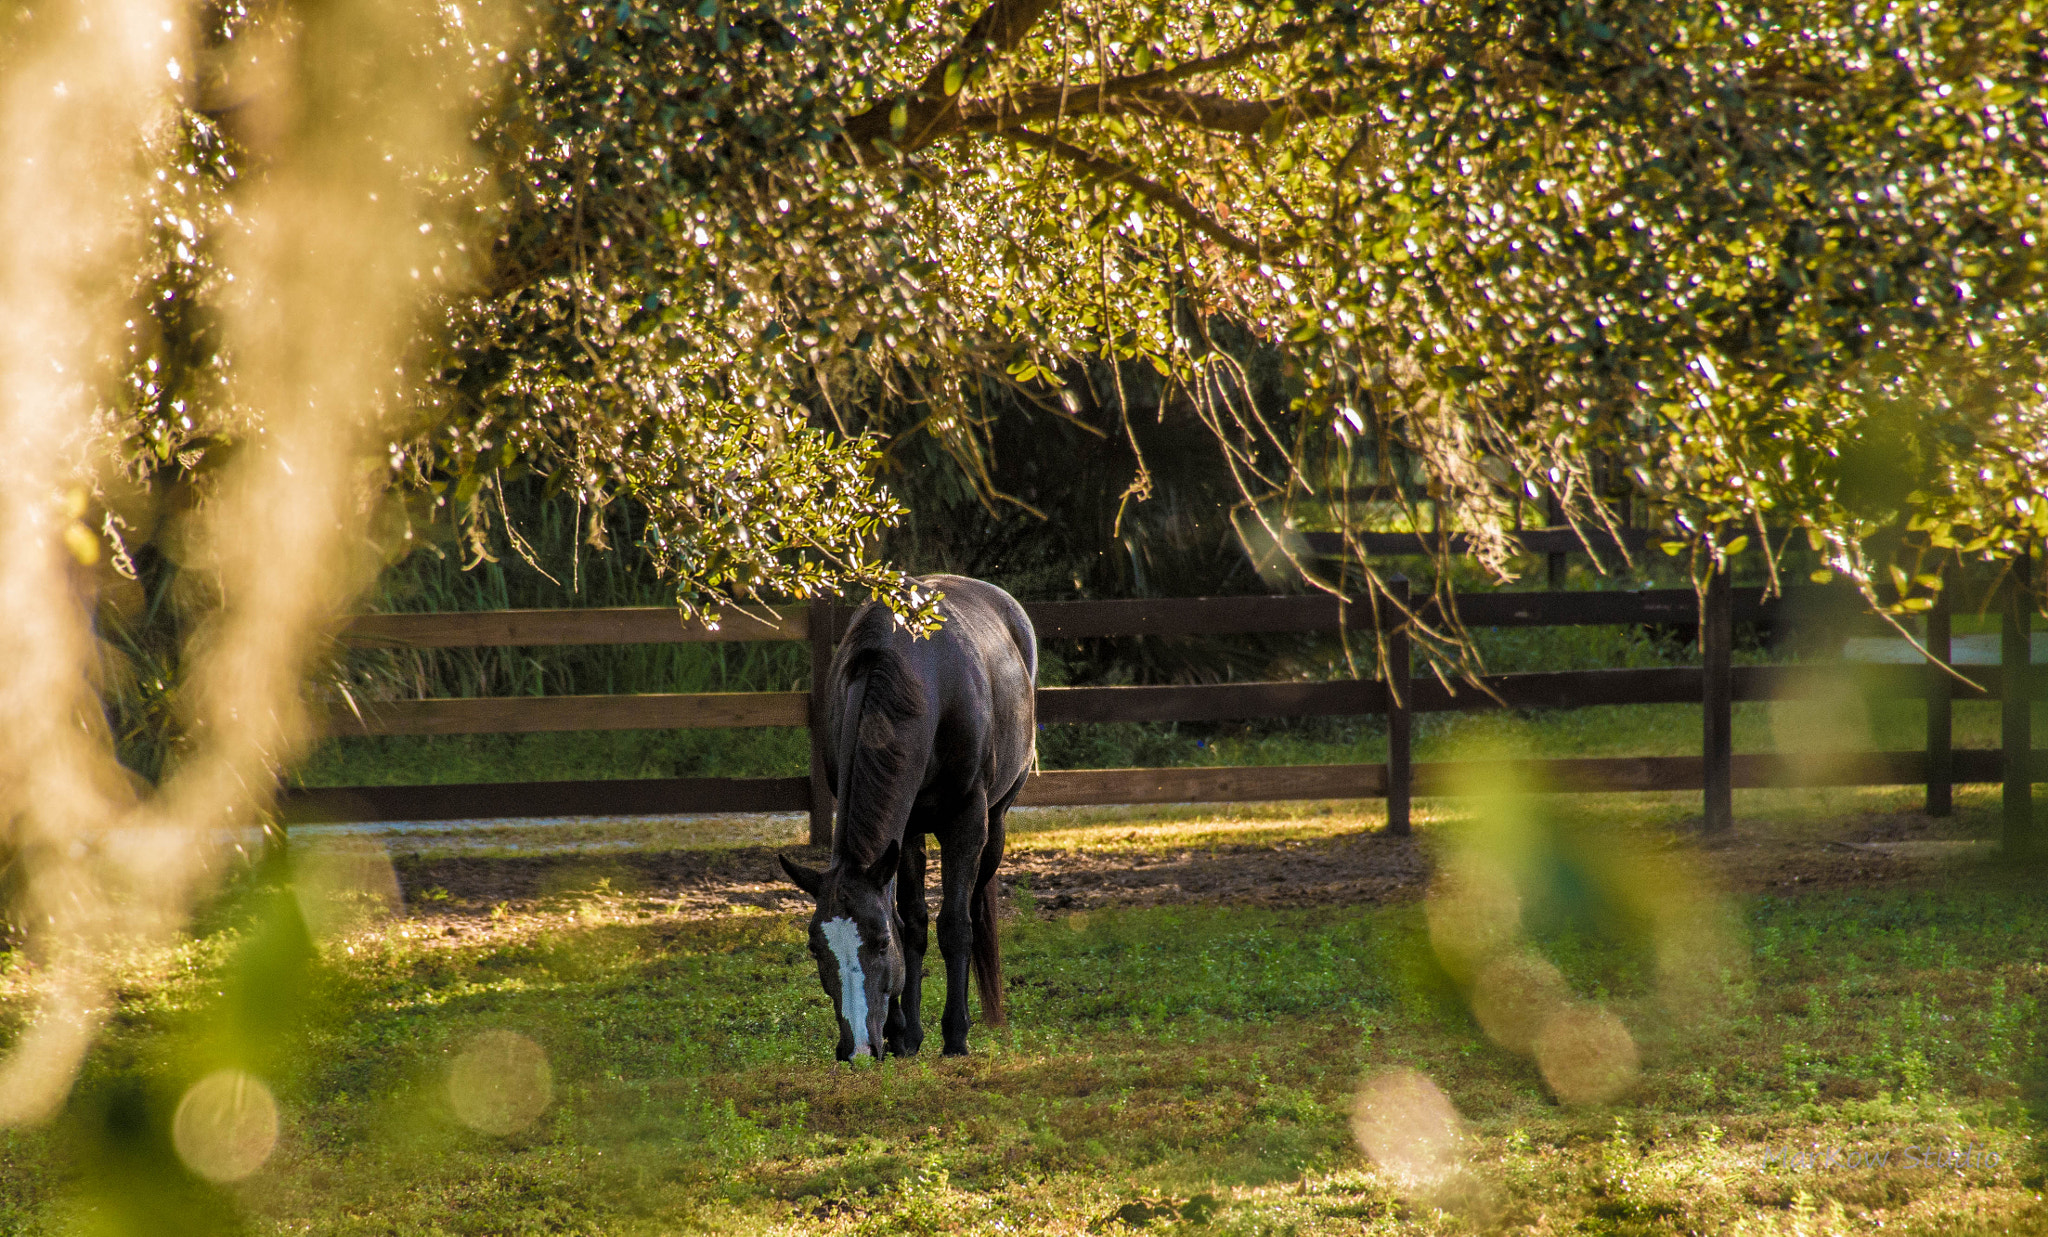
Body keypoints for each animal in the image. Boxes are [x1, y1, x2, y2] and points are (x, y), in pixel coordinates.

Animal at [782, 573, 1040, 1056]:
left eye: (881, 943)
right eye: (815, 948)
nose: (857, 1048)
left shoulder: (966, 821)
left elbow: (954, 925)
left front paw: (954, 1034)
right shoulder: (901, 834)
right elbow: (912, 921)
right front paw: (904, 1031)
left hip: (994, 825)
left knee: (973, 911)